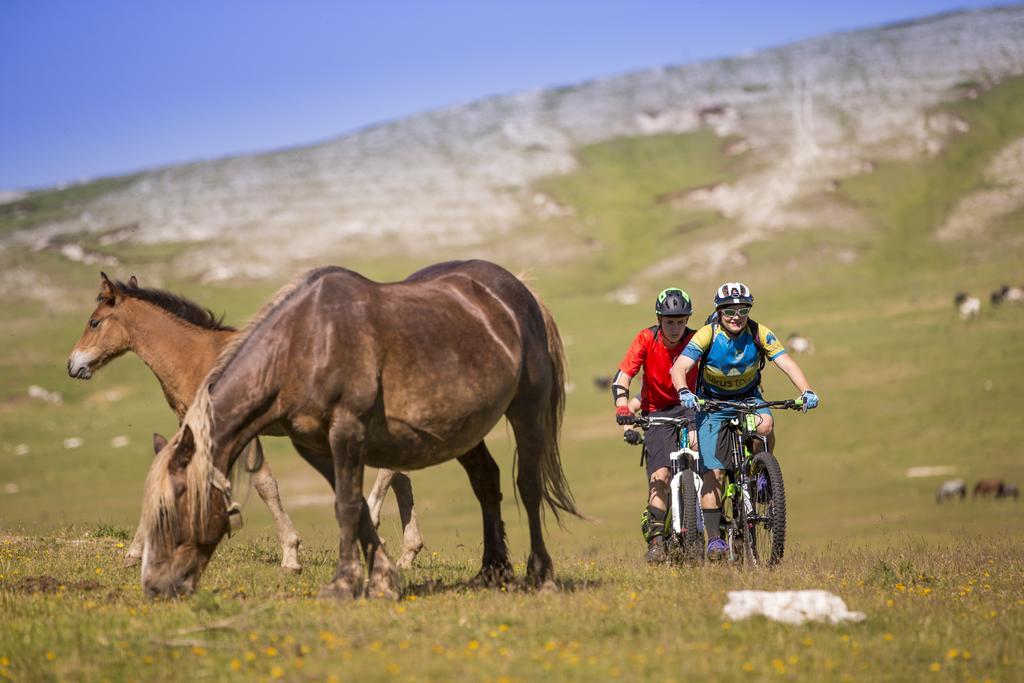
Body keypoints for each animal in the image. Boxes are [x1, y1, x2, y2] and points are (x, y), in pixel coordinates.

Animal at [66, 272, 423, 573]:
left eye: (94, 322)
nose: (73, 365)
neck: (195, 357)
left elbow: (265, 484)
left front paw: (291, 554)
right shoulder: (191, 425)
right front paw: (133, 553)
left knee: (391, 471)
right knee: (400, 474)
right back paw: (407, 551)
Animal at [140, 260, 581, 598]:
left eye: (175, 502)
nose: (155, 586)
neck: (304, 343)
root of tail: (517, 290)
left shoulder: (347, 431)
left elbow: (349, 507)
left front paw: (342, 583)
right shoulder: (316, 446)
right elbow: (356, 506)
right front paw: (383, 581)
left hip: (526, 412)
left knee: (528, 486)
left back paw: (541, 575)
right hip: (463, 428)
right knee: (486, 482)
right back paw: (492, 571)